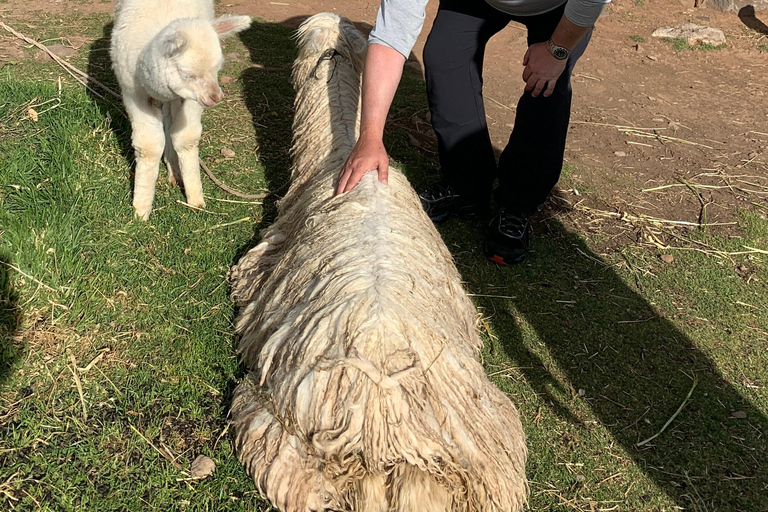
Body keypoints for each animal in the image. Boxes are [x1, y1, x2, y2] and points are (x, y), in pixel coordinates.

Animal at [109, 0, 249, 218]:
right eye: (187, 74)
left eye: (217, 69)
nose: (215, 97)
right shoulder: (133, 94)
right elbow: (148, 146)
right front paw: (141, 209)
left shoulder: (191, 100)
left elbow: (185, 139)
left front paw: (195, 199)